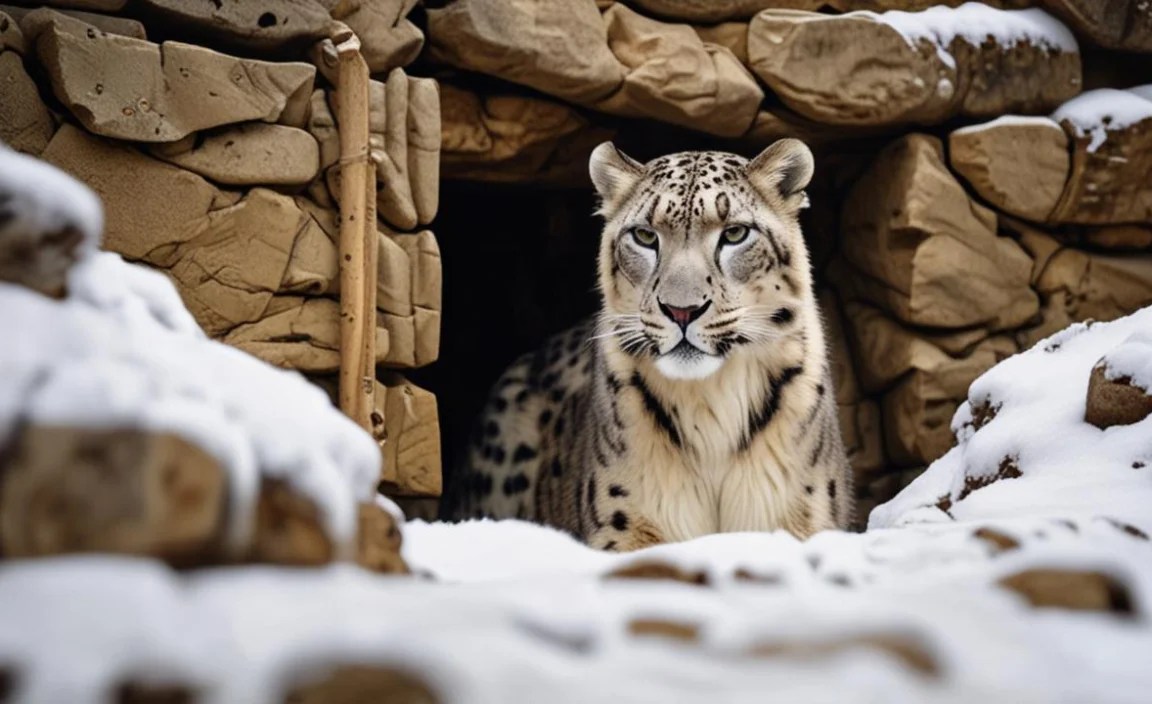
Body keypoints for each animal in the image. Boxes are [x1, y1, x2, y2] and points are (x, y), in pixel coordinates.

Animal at [440, 138, 853, 551]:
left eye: (735, 233)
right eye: (644, 236)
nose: (682, 310)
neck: (710, 405)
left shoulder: (798, 514)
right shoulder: (626, 524)